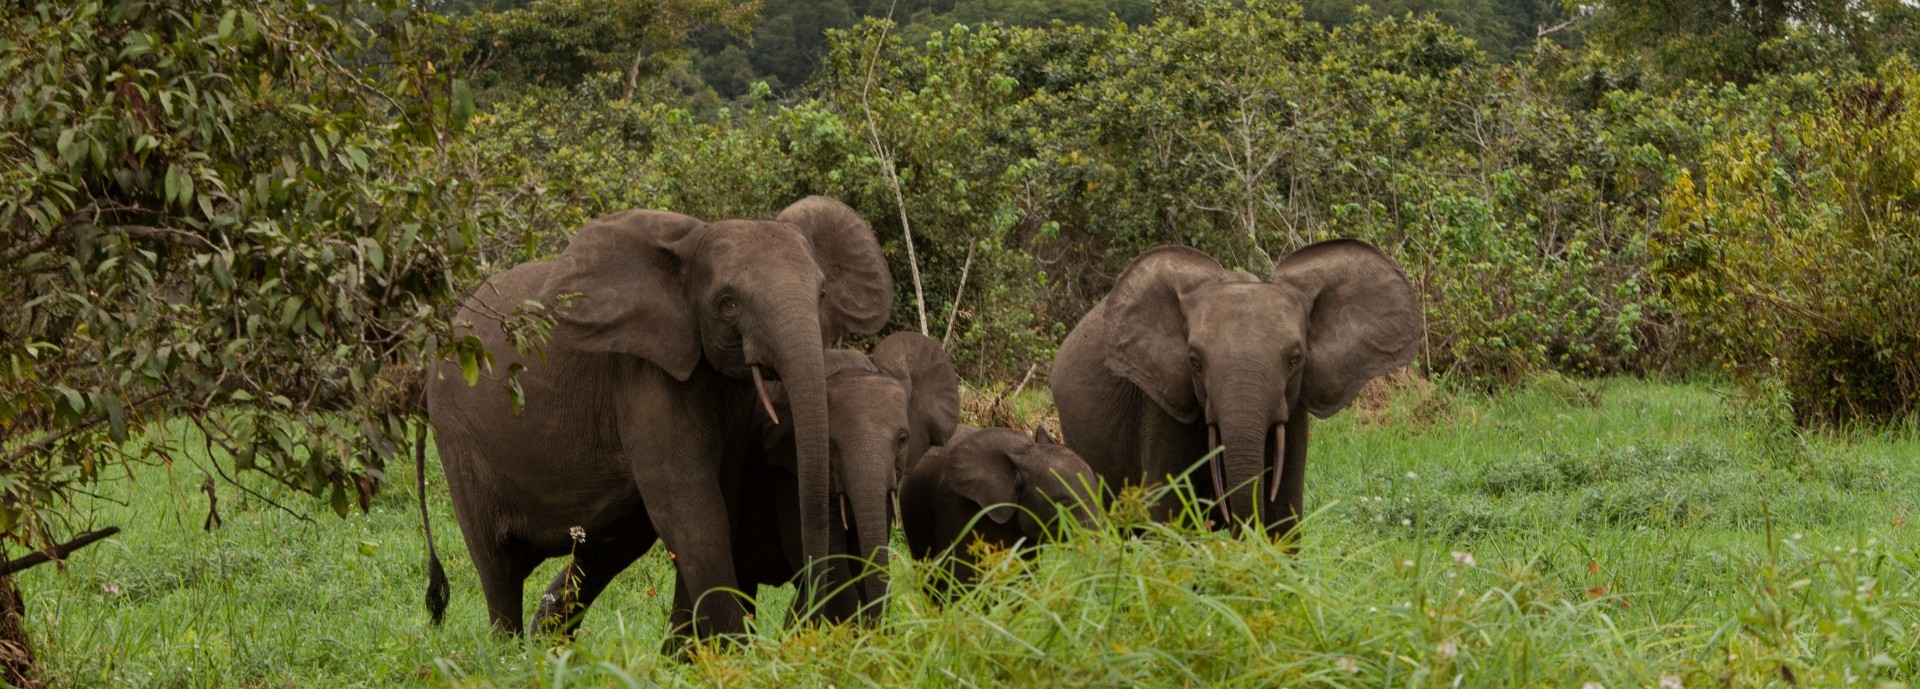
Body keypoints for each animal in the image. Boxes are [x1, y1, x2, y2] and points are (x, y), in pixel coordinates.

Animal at [420, 195, 890, 641]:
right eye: (728, 305)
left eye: (822, 295)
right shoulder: (644, 377)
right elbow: (693, 514)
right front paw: (733, 655)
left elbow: (717, 507)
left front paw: (694, 654)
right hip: (458, 437)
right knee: (498, 563)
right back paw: (511, 655)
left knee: (604, 549)